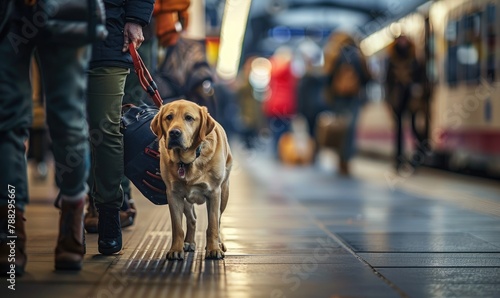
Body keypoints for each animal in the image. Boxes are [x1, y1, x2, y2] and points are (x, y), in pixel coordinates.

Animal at [150, 99, 232, 258]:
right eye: (169, 117)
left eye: (189, 118)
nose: (174, 132)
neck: (189, 159)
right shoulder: (173, 195)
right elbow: (177, 227)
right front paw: (176, 250)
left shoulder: (214, 193)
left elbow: (213, 225)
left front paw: (213, 249)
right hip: (186, 200)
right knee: (192, 219)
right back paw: (188, 243)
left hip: (224, 193)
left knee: (218, 219)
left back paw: (219, 243)